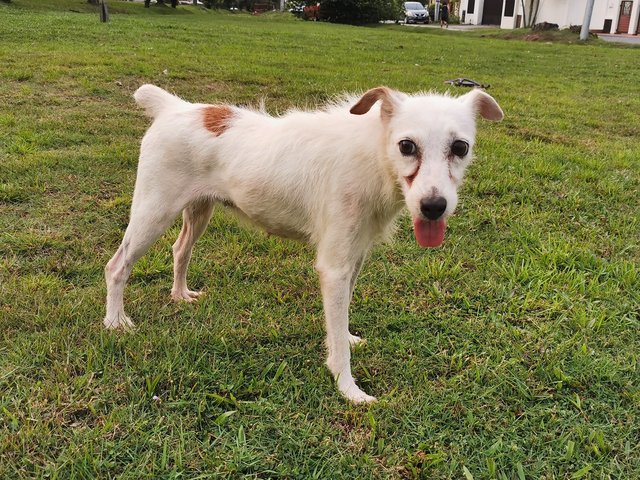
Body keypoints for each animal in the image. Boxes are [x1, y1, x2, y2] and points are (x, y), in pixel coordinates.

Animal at [105, 84, 502, 404]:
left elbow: (341, 320)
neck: (375, 155)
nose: (434, 206)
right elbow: (337, 341)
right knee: (116, 266)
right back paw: (116, 321)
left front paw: (347, 337)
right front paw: (348, 388)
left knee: (180, 250)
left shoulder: (354, 257)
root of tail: (174, 107)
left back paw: (179, 294)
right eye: (406, 146)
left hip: (197, 212)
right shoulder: (334, 266)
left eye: (460, 147)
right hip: (153, 213)